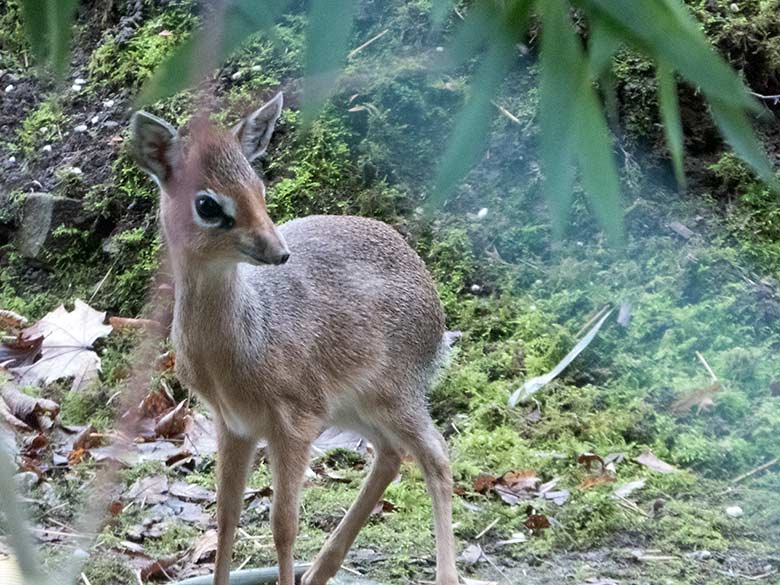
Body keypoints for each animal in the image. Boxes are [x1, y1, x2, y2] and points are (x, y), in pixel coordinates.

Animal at [128, 92, 458, 584]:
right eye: (207, 204)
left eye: (259, 187)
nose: (278, 251)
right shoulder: (234, 425)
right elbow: (225, 516)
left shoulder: (294, 422)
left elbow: (283, 524)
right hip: (353, 406)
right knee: (391, 454)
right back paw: (320, 569)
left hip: (395, 395)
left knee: (437, 457)